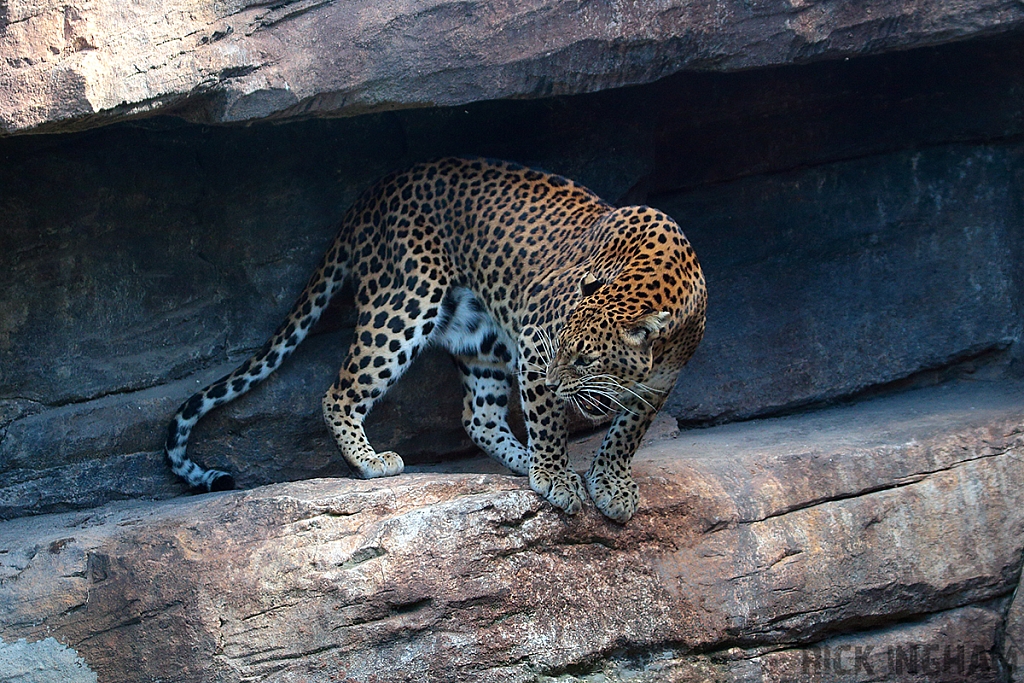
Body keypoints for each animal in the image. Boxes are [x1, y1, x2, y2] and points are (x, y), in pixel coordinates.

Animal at [161, 158, 704, 524]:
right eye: (562, 349)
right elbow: (549, 421)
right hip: (407, 299)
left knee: (479, 417)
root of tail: (375, 190)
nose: (556, 383)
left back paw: (520, 461)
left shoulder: (660, 383)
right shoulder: (534, 342)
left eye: (588, 358)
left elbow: (627, 434)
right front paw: (555, 475)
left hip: (480, 337)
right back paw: (373, 461)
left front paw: (610, 483)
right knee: (339, 392)